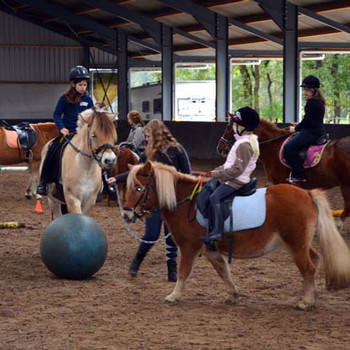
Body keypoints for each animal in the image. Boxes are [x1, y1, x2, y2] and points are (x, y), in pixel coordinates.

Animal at [123, 161, 350, 308]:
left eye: (138, 188)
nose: (126, 215)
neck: (186, 202)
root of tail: (307, 194)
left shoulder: (189, 247)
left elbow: (183, 272)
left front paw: (174, 296)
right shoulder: (211, 251)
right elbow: (224, 272)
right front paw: (233, 295)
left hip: (295, 244)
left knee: (308, 267)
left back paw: (306, 301)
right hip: (299, 243)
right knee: (315, 260)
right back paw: (311, 297)